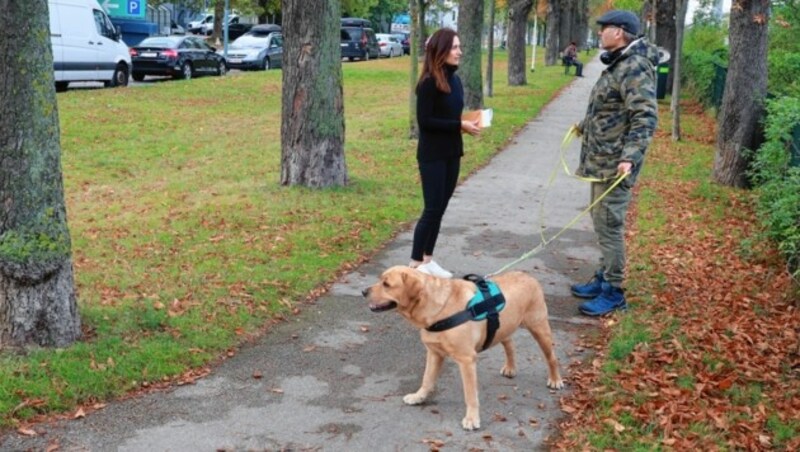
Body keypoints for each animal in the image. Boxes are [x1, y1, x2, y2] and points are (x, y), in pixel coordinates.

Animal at [362, 266, 564, 430]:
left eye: (386, 284)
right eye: (380, 280)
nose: (363, 291)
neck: (439, 308)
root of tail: (528, 276)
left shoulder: (466, 360)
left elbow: (470, 395)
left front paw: (472, 419)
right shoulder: (434, 353)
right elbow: (427, 379)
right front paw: (419, 397)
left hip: (540, 328)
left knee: (552, 357)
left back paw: (555, 380)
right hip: (503, 327)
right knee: (510, 344)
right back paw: (510, 367)